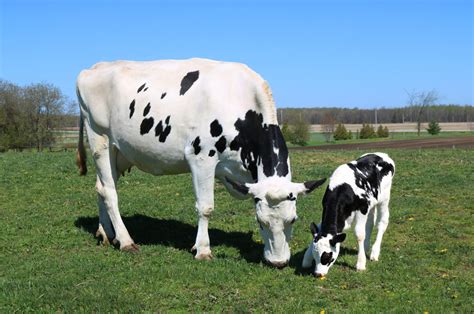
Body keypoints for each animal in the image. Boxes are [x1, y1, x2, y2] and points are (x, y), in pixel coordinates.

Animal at [76, 57, 326, 266]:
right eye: (260, 221)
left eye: (293, 220)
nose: (278, 262)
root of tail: (94, 68)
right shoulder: (201, 157)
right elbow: (205, 207)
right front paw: (203, 249)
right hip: (100, 139)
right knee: (110, 192)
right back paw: (125, 240)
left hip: (119, 152)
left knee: (101, 187)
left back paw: (105, 233)